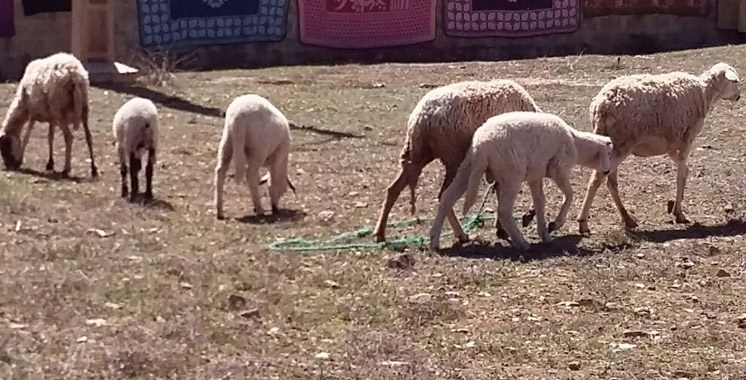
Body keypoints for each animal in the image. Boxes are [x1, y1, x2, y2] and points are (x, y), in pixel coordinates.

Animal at [0, 51, 97, 179]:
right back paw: (94, 169)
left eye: (5, 146)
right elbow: (50, 137)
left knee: (69, 136)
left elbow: (26, 137)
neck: (23, 103)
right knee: (88, 136)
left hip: (59, 109)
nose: (9, 165)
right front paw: (50, 163)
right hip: (84, 108)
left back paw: (66, 169)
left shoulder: (33, 112)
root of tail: (74, 74)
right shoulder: (51, 118)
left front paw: (19, 160)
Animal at [372, 78, 540, 242]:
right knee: (443, 194)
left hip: (417, 153)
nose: (527, 219)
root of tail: (421, 117)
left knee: (394, 188)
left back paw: (379, 233)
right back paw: (460, 234)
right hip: (453, 158)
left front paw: (501, 227)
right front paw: (503, 227)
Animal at [424, 111, 612, 251]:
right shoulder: (558, 170)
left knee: (447, 198)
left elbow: (540, 201)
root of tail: (481, 145)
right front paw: (555, 224)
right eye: (608, 153)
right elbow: (570, 194)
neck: (576, 144)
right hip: (512, 174)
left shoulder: (536, 175)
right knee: (504, 210)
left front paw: (544, 233)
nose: (608, 171)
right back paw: (521, 242)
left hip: (468, 168)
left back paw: (434, 241)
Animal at [568, 61, 740, 235]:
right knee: (597, 179)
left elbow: (685, 172)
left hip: (614, 146)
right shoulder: (687, 139)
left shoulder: (672, 144)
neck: (705, 93)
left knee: (611, 182)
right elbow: (680, 177)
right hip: (621, 144)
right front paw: (679, 213)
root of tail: (599, 106)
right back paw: (583, 222)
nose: (739, 96)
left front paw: (675, 208)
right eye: (734, 81)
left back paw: (627, 219)